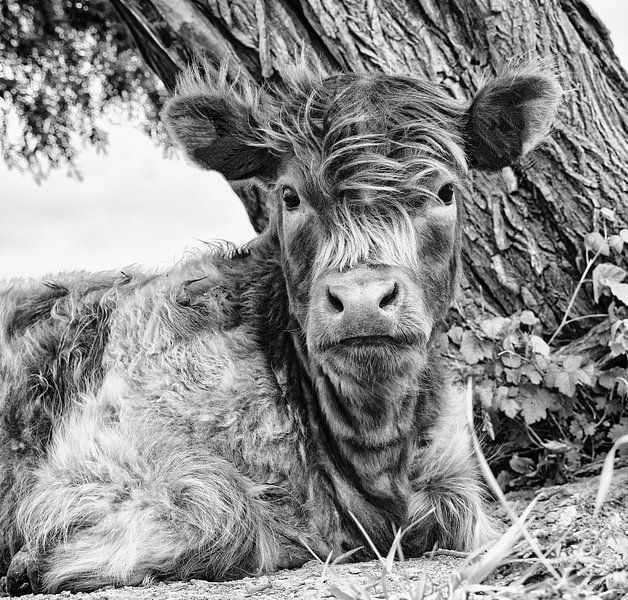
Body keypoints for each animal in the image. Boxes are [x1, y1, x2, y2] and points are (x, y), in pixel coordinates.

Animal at [0, 58, 560, 592]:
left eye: (445, 191)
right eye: (290, 197)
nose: (362, 298)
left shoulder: (451, 472)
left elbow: (458, 514)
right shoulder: (99, 457)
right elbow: (225, 509)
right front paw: (36, 559)